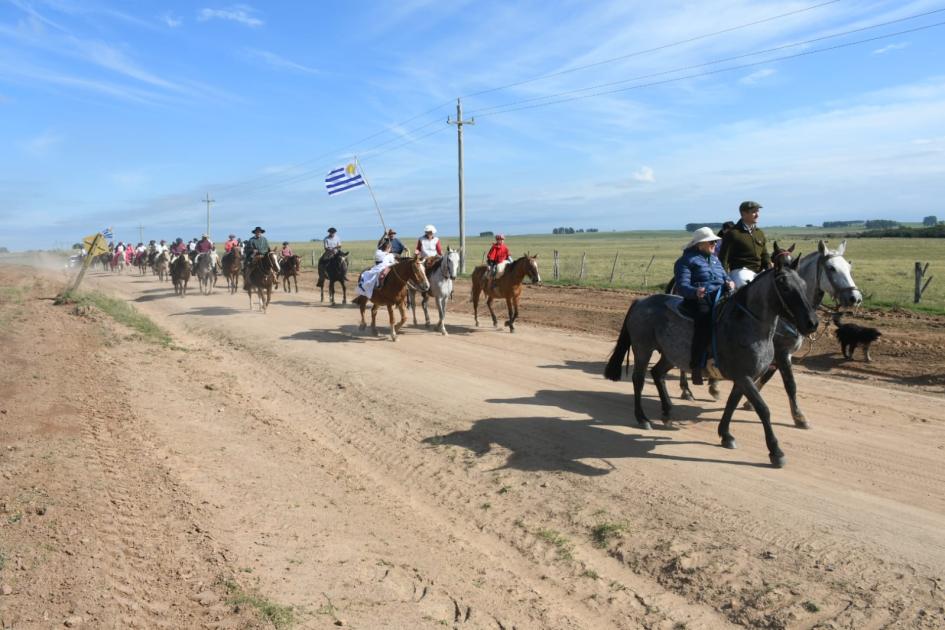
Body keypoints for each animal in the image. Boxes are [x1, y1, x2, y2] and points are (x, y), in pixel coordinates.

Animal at [604, 262, 820, 470]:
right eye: (784, 286)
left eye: (804, 285)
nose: (812, 323)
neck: (749, 326)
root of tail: (640, 302)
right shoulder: (745, 377)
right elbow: (763, 409)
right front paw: (776, 452)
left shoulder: (744, 378)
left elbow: (732, 404)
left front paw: (725, 435)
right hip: (643, 349)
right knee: (639, 380)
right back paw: (643, 418)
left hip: (670, 356)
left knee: (657, 374)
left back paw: (667, 412)